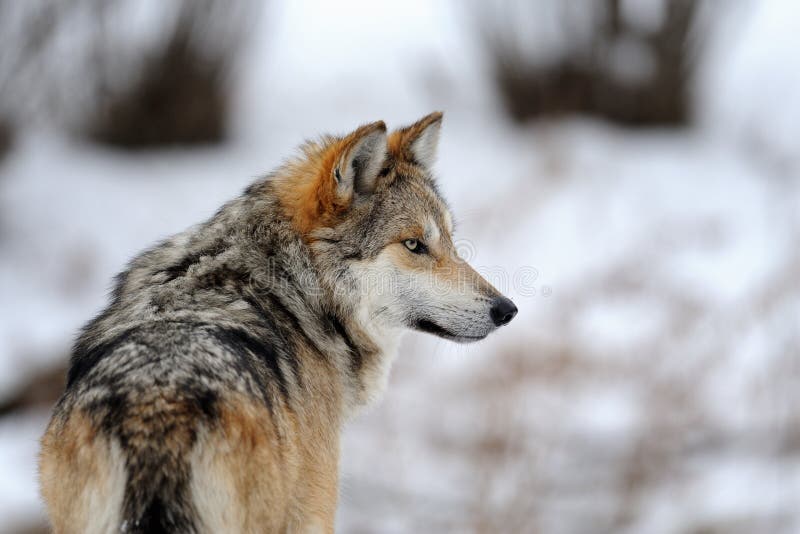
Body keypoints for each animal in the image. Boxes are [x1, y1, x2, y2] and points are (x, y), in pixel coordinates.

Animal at [39, 112, 518, 533]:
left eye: (451, 241)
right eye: (415, 244)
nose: (506, 310)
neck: (295, 289)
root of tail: (156, 411)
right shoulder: (315, 508)